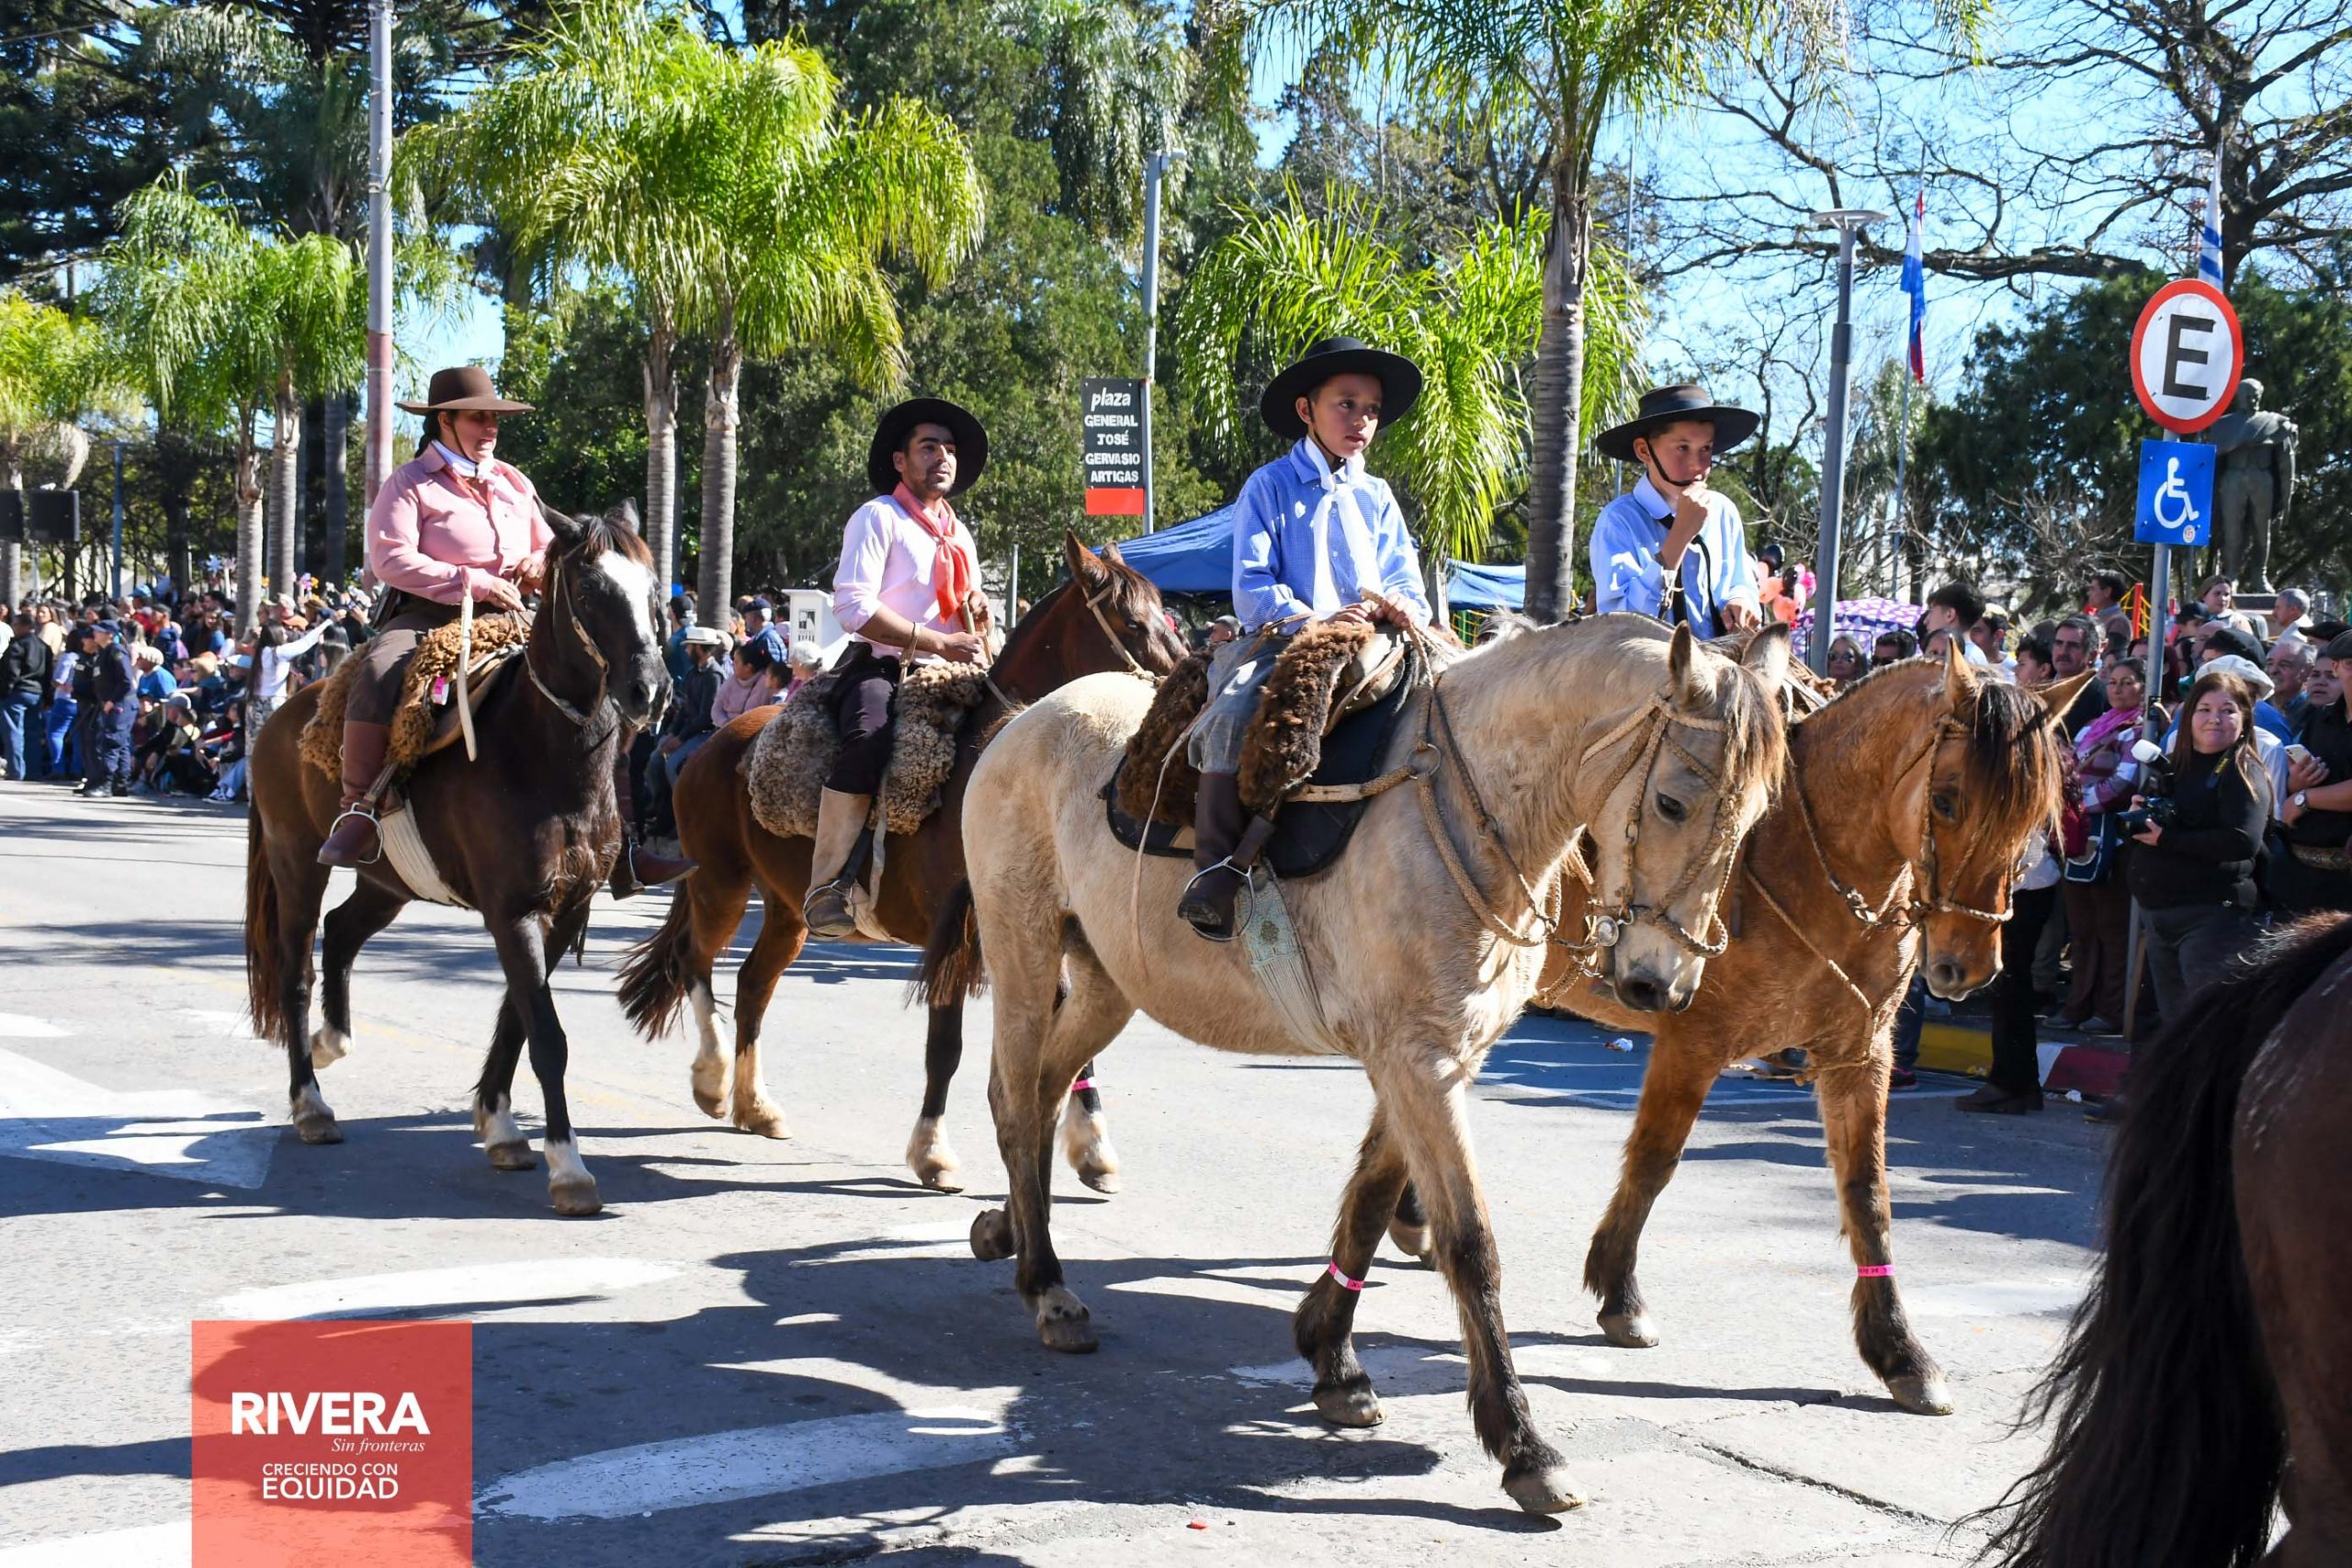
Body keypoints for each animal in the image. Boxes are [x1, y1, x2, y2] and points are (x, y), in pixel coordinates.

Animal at [244, 502, 668, 1216]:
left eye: (653, 588)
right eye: (589, 590)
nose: (651, 690)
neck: (544, 752)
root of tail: (279, 716)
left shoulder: (564, 908)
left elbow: (518, 1018)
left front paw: (499, 1125)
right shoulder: (512, 910)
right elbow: (545, 1034)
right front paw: (568, 1166)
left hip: (388, 881)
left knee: (342, 931)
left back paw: (335, 1039)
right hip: (298, 860)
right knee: (296, 968)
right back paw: (311, 1105)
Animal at [616, 532, 1186, 1187]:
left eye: (1169, 615)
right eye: (1132, 620)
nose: (1188, 691)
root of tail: (711, 745)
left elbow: (1071, 1033)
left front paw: (1092, 1146)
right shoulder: (955, 932)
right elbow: (946, 1047)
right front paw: (932, 1150)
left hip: (786, 910)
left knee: (753, 985)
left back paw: (756, 1106)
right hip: (721, 884)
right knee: (696, 962)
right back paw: (712, 1083)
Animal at [930, 615, 1794, 1513]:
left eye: (1756, 815)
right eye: (1672, 801)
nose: (1663, 983)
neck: (1465, 811)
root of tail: (1024, 719)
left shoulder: (1434, 1056)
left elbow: (1376, 1204)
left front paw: (1333, 1358)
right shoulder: (1420, 1061)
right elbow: (1470, 1243)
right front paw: (1523, 1443)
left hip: (1107, 981)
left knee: (1041, 1089)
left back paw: (1010, 1229)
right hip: (1024, 951)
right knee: (1016, 1099)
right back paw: (1046, 1283)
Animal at [1498, 645, 2086, 1413]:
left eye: (2037, 817)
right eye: (1949, 798)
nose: (1969, 966)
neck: (1811, 863)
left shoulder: (1860, 1054)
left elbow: (1868, 1195)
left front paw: (1900, 1349)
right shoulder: (1694, 1043)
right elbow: (1654, 1161)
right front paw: (1620, 1293)